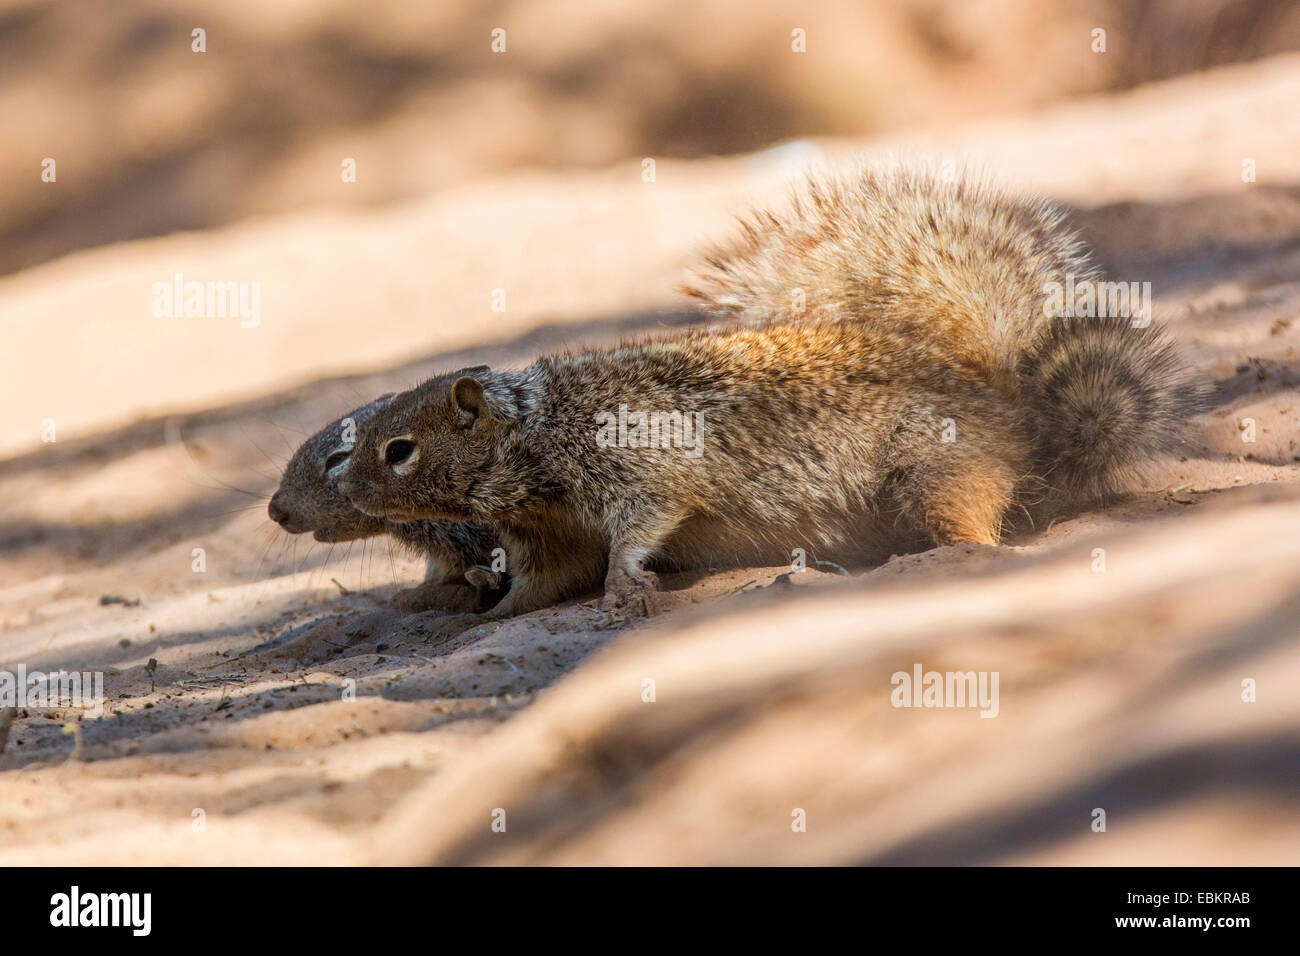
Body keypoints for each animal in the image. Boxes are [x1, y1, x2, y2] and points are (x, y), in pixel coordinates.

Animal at [332, 166, 1196, 621]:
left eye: (399, 449)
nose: (342, 489)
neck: (534, 433)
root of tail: (999, 395)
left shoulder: (636, 467)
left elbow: (641, 525)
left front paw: (626, 586)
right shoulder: (548, 533)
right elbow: (545, 581)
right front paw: (495, 611)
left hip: (934, 472)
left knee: (976, 527)